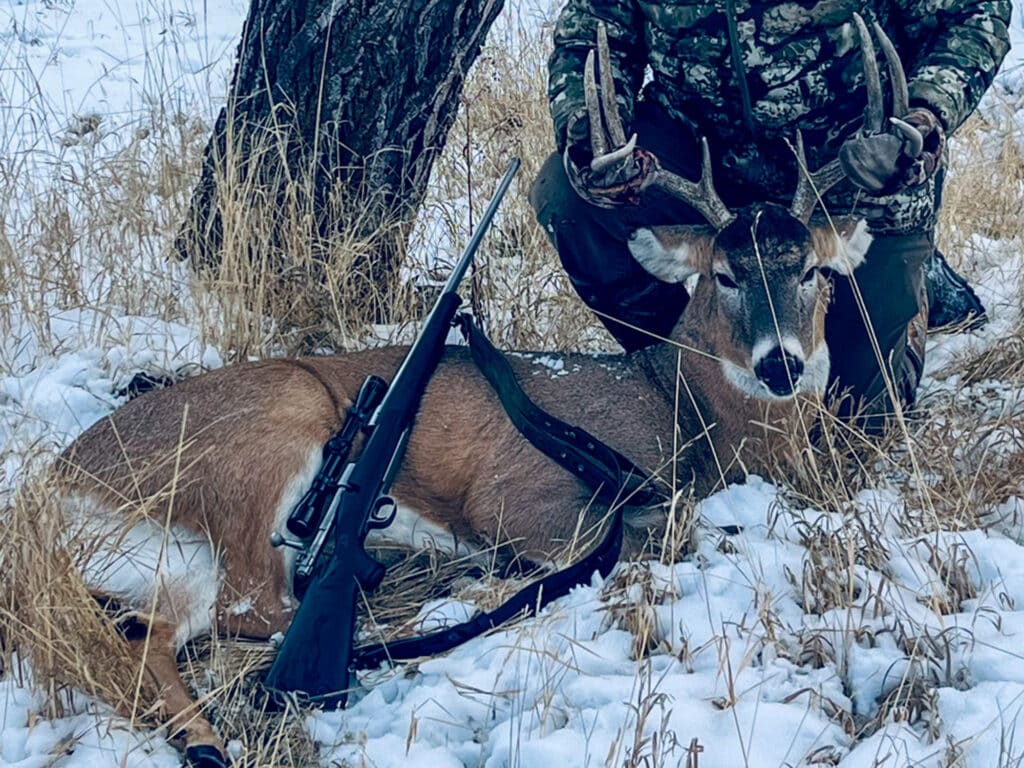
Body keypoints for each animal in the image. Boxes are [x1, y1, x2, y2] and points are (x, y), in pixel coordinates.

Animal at [43, 17, 906, 768]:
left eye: (814, 270)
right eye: (725, 275)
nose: (781, 365)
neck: (681, 411)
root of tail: (56, 487)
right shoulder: (520, 492)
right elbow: (658, 531)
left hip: (173, 564)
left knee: (151, 638)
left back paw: (209, 740)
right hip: (271, 437)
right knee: (254, 608)